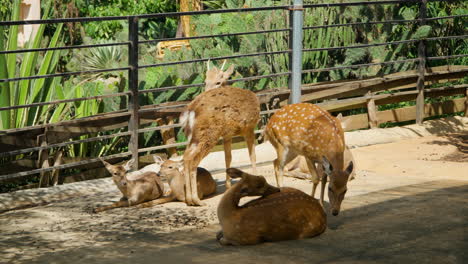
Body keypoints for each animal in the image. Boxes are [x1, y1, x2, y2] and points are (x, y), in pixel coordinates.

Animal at [179, 62, 260, 206]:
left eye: (218, 82)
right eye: (205, 82)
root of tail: (191, 111)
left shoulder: (227, 134)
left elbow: (228, 157)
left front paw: (228, 186)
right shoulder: (249, 127)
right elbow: (252, 156)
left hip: (194, 136)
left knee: (186, 157)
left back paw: (189, 200)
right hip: (209, 134)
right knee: (193, 161)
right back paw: (196, 200)